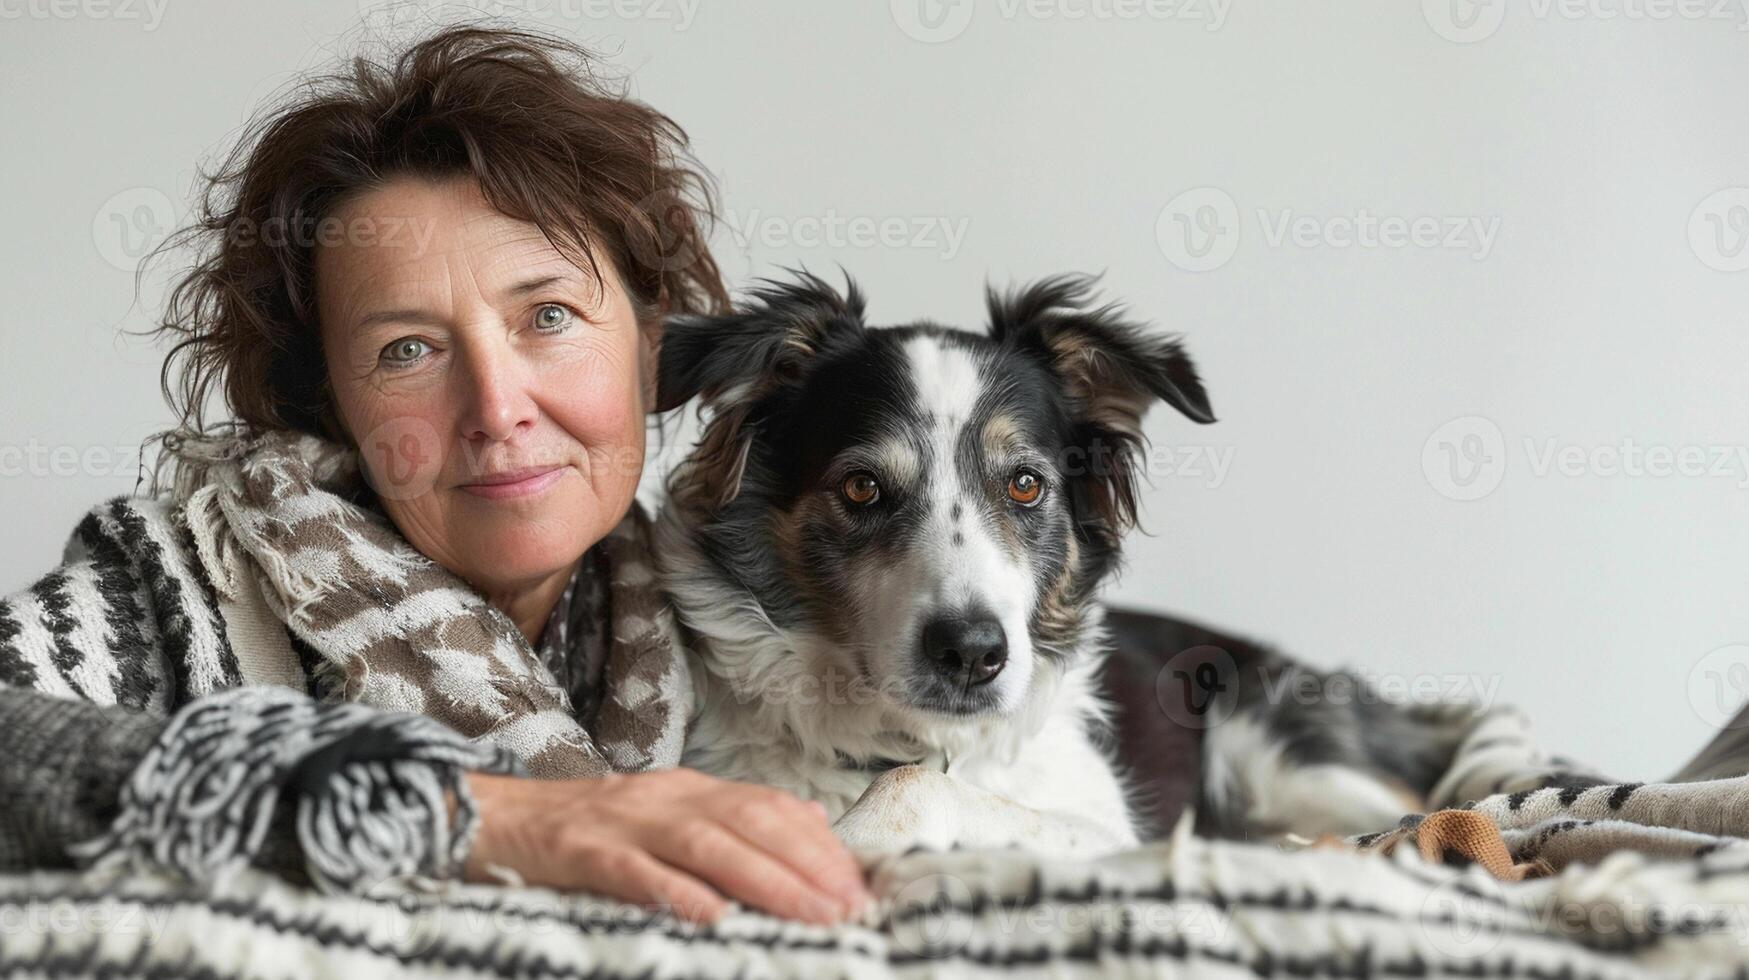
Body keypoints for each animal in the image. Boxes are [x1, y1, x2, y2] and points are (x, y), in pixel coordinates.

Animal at [654, 271, 1476, 854]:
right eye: (862, 488)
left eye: (1025, 484)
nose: (972, 654)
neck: (909, 742)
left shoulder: (1111, 833)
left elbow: (920, 791)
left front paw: (843, 839)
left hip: (1267, 745)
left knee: (1426, 806)